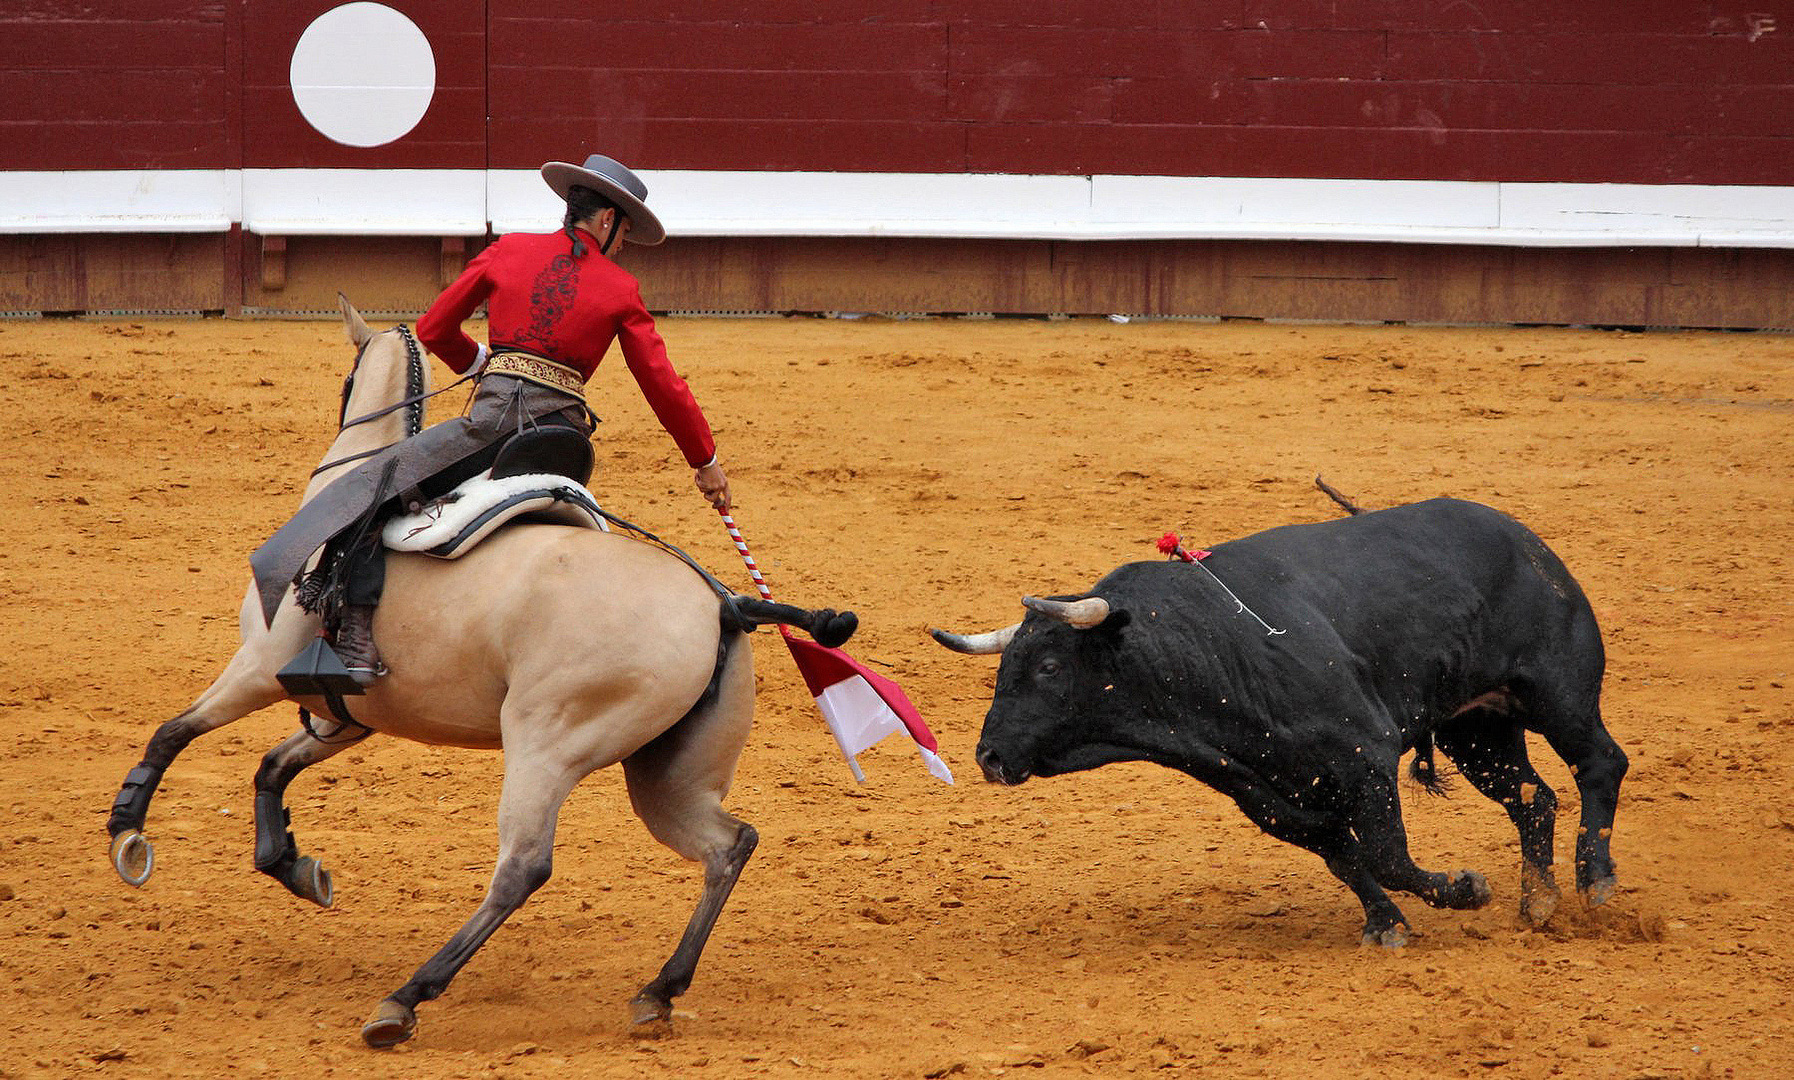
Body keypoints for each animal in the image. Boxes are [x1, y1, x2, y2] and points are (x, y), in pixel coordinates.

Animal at [108, 294, 850, 1040]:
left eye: (345, 380)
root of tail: (724, 604)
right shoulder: (345, 715)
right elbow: (271, 767)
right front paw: (295, 866)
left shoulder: (256, 669)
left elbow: (175, 731)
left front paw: (128, 831)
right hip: (668, 776)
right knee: (729, 843)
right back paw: (659, 990)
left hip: (546, 742)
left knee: (522, 867)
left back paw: (406, 997)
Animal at [940, 495, 1628, 940]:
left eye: (1050, 666)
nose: (988, 756)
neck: (1208, 646)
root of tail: (1526, 541)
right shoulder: (1266, 795)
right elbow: (1344, 856)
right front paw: (1387, 926)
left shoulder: (1365, 756)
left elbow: (1386, 853)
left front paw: (1465, 889)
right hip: (1475, 728)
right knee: (1531, 797)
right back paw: (1539, 903)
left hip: (1558, 693)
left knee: (1599, 764)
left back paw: (1595, 884)